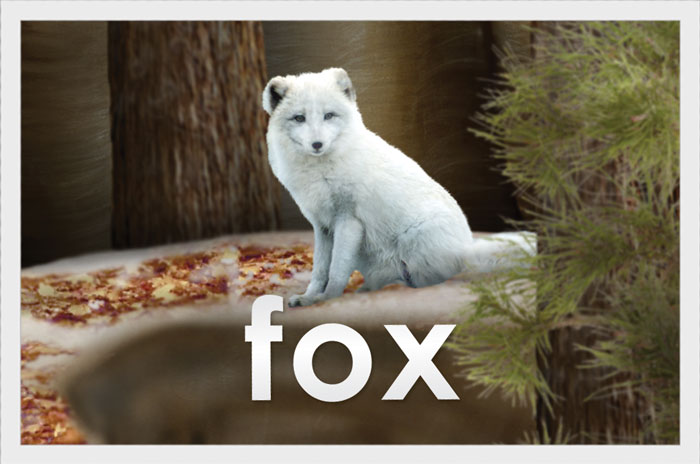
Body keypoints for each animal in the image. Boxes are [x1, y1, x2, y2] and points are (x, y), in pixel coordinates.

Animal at [262, 68, 534, 307]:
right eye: (299, 118)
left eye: (329, 115)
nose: (317, 144)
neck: (320, 171)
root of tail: (465, 250)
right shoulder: (323, 226)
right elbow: (320, 270)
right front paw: (308, 298)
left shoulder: (348, 220)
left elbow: (337, 270)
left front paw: (327, 299)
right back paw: (368, 288)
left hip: (414, 239)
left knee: (427, 282)